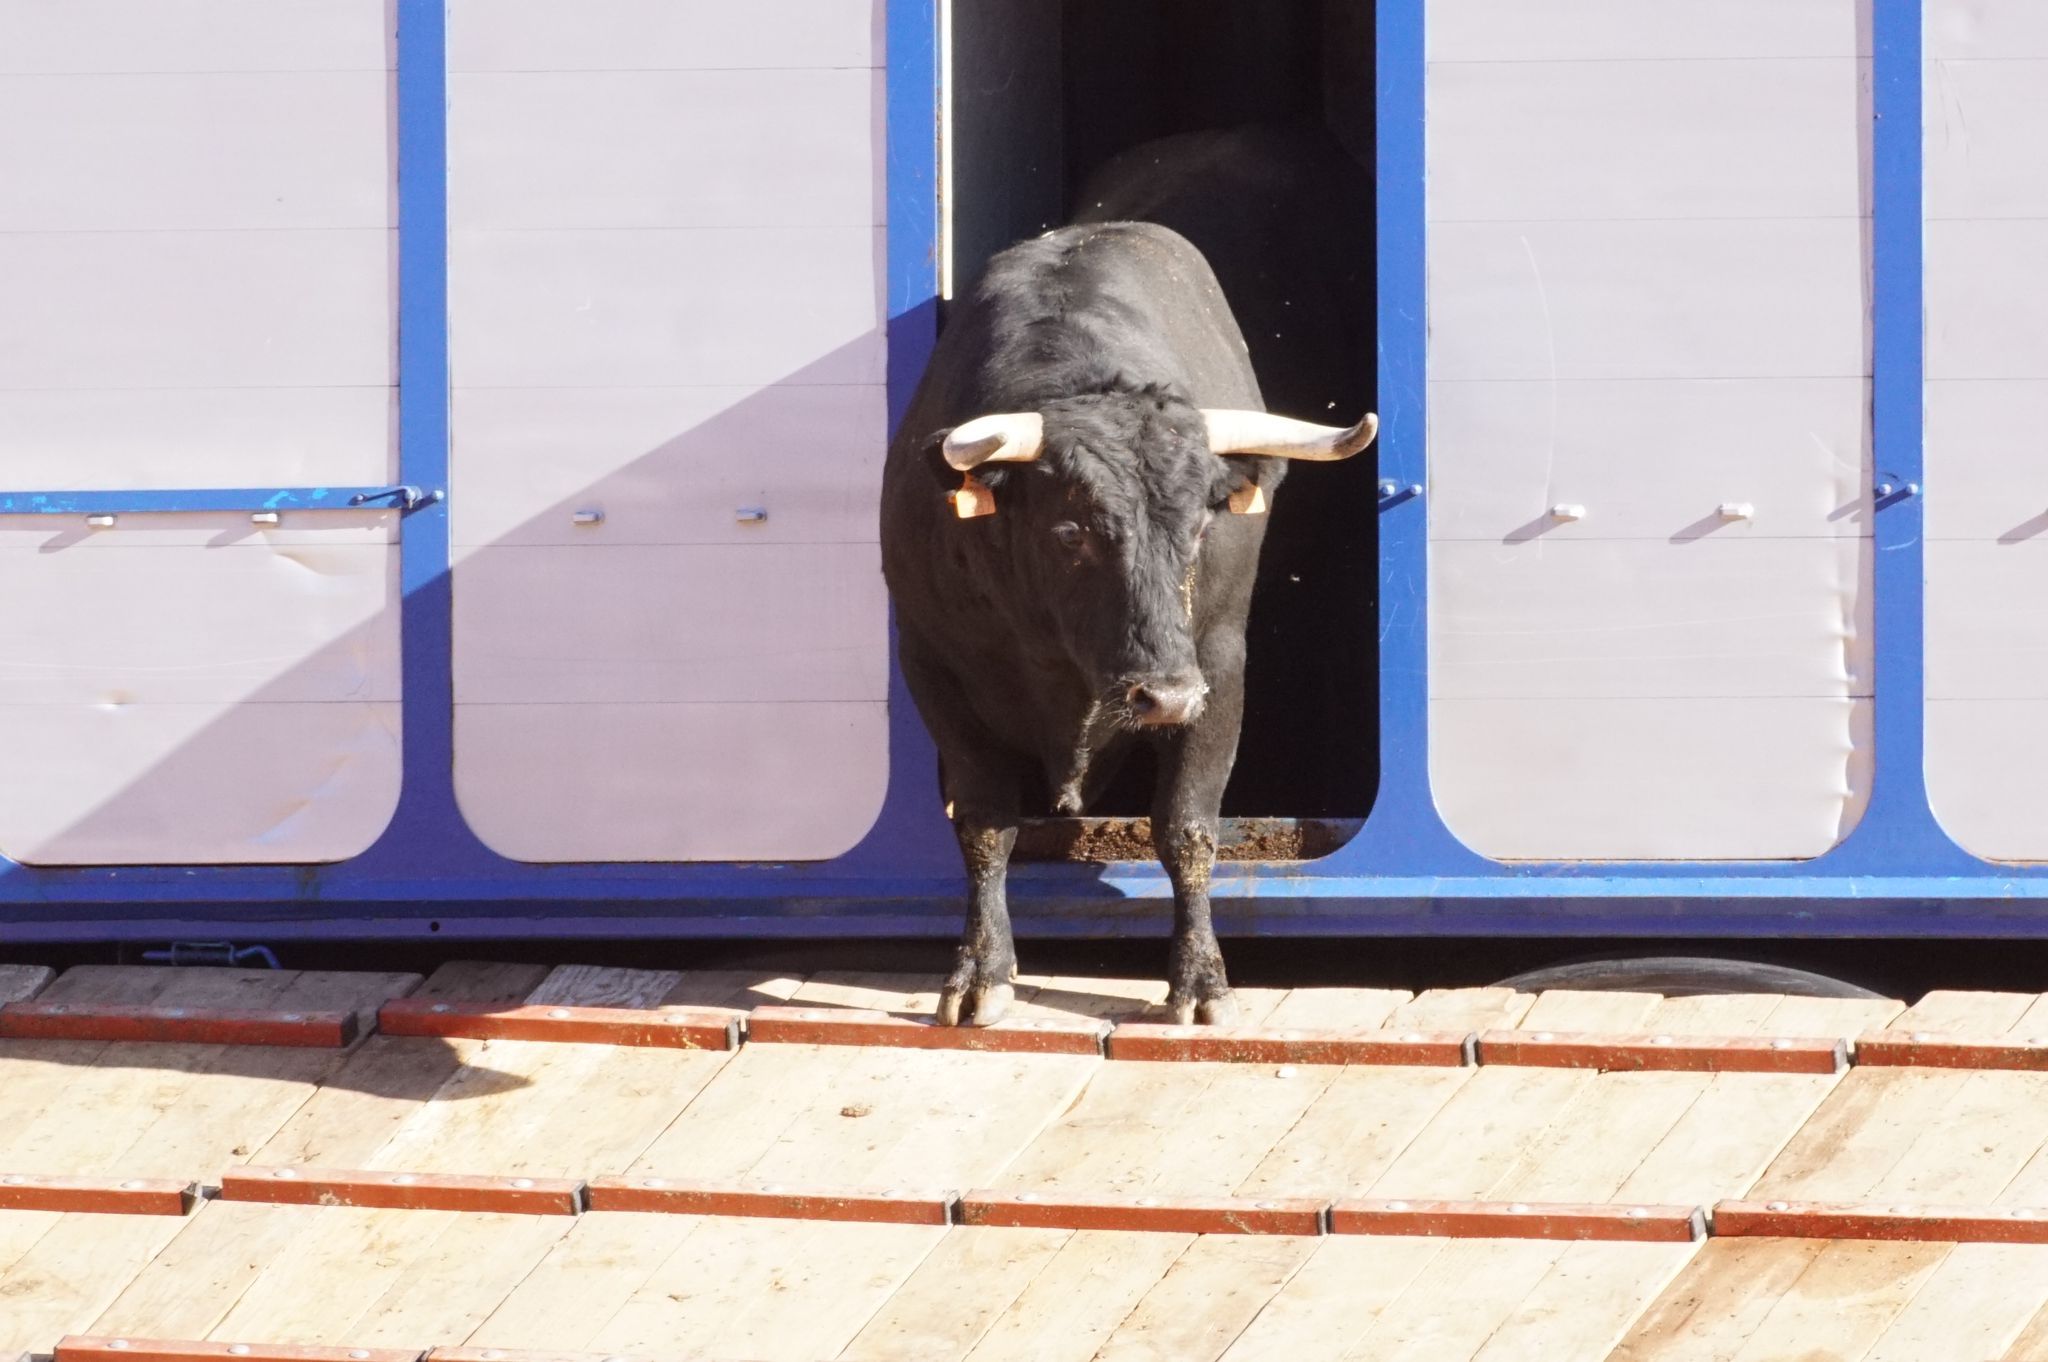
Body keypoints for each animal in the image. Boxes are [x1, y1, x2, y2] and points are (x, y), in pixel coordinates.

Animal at [880, 124, 1376, 1019]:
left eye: (1201, 525)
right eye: (1071, 529)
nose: (1164, 697)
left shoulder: (1218, 662)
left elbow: (1185, 825)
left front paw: (1201, 980)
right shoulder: (933, 667)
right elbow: (984, 823)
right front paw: (980, 972)